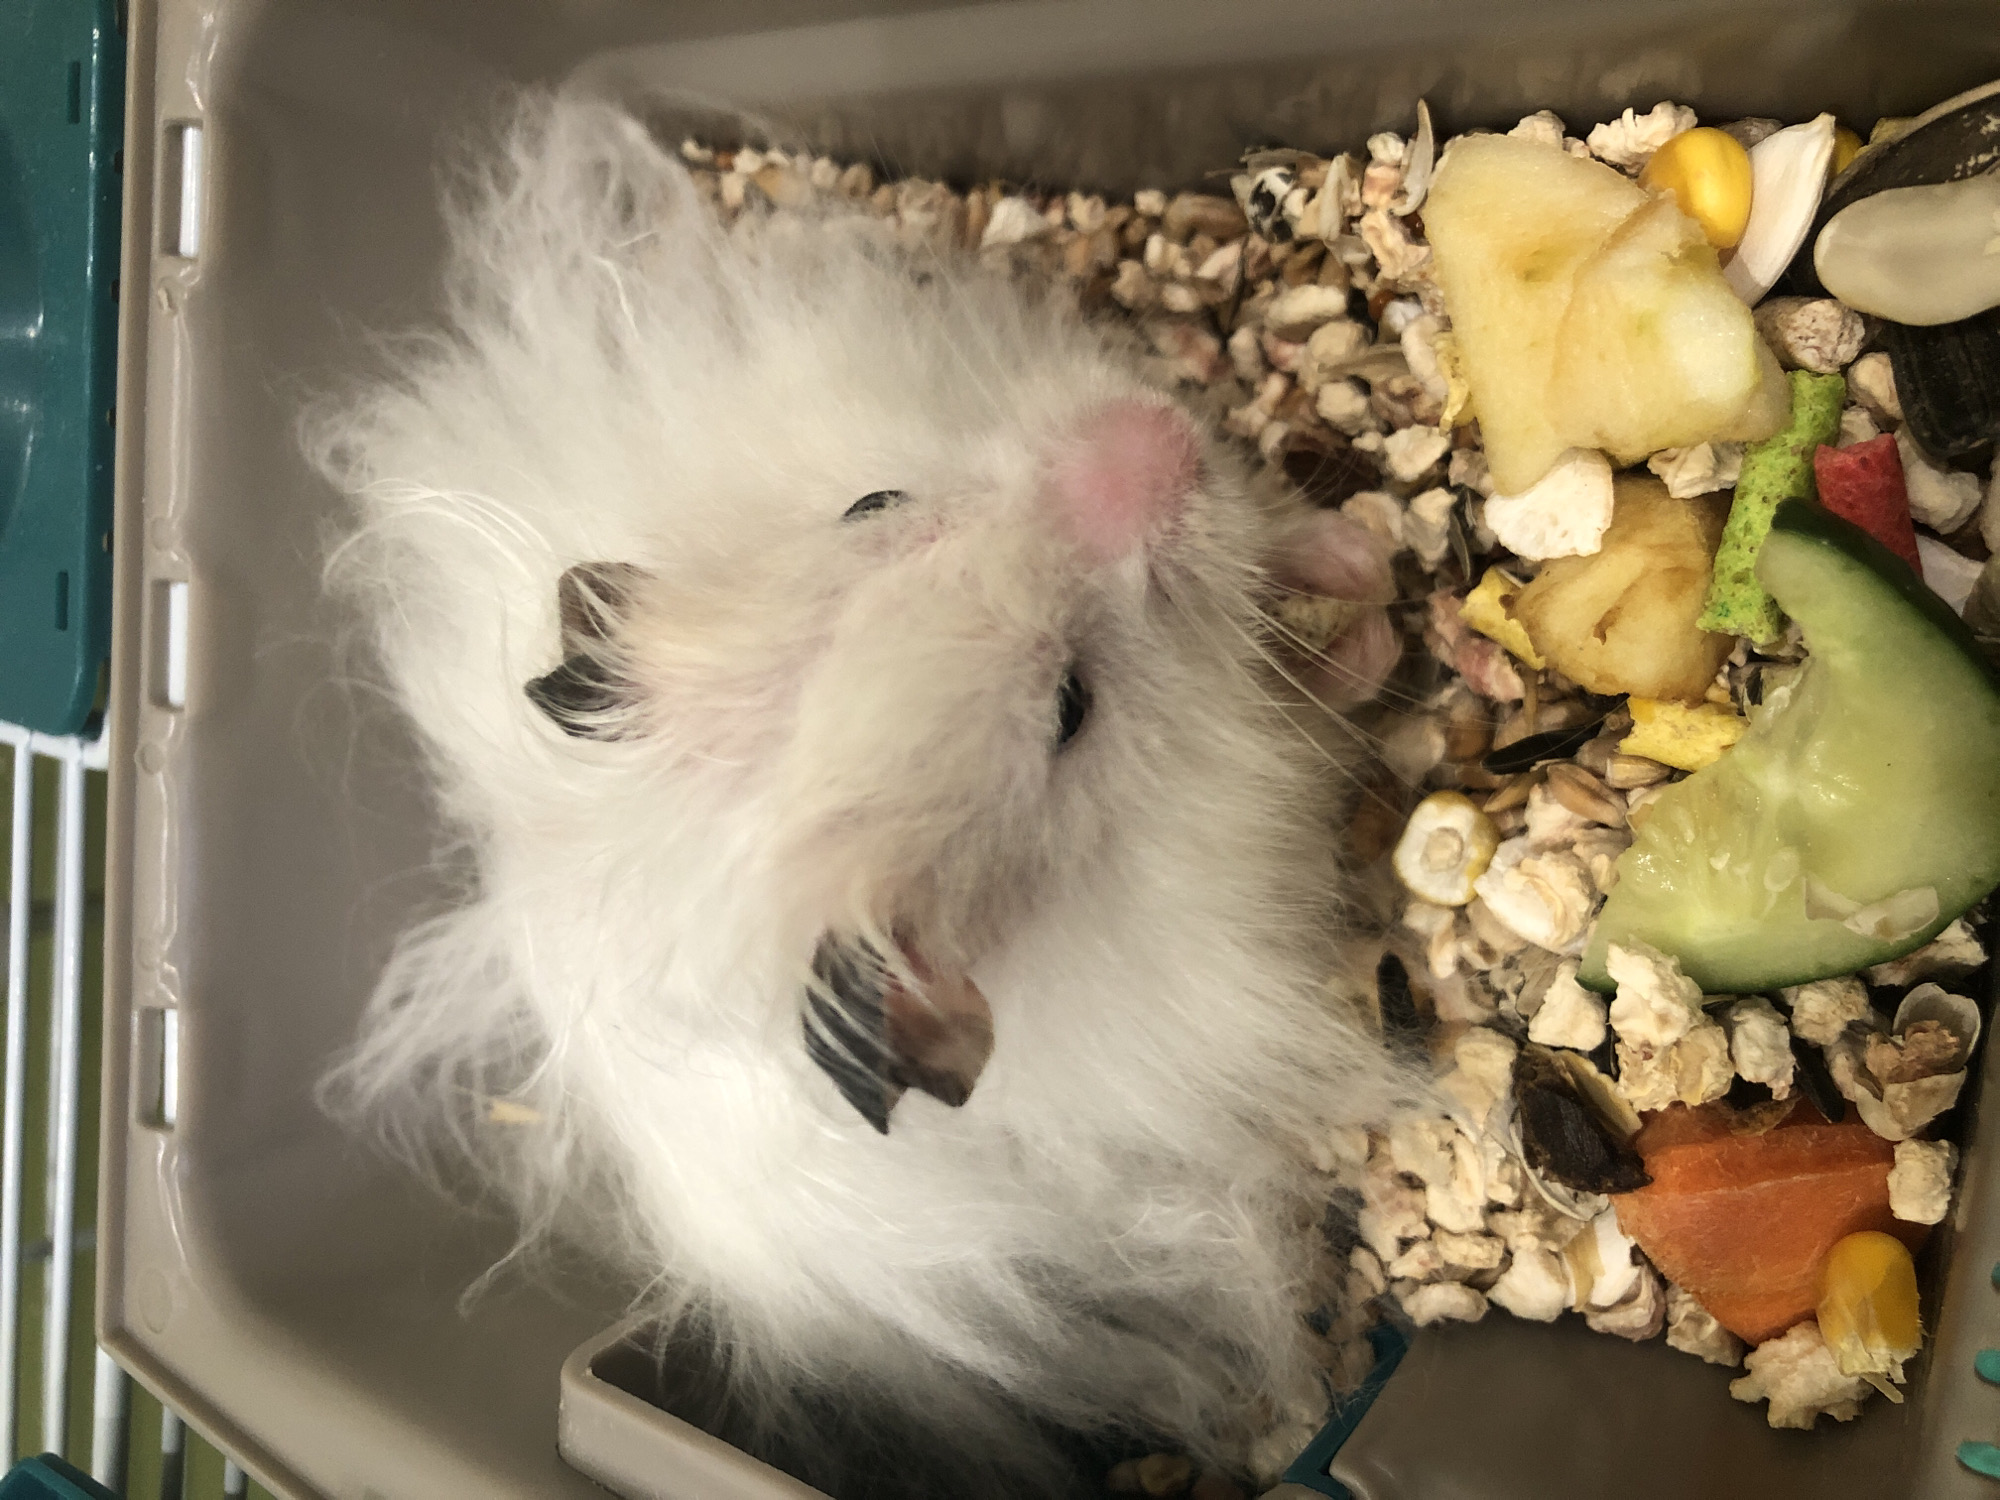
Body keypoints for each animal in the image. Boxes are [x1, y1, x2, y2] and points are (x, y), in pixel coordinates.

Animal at [312, 92, 1420, 1497]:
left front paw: (1355, 553)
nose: (1143, 435)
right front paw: (1369, 622)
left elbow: (1292, 562)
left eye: (874, 497)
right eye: (1069, 709)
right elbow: (1321, 690)